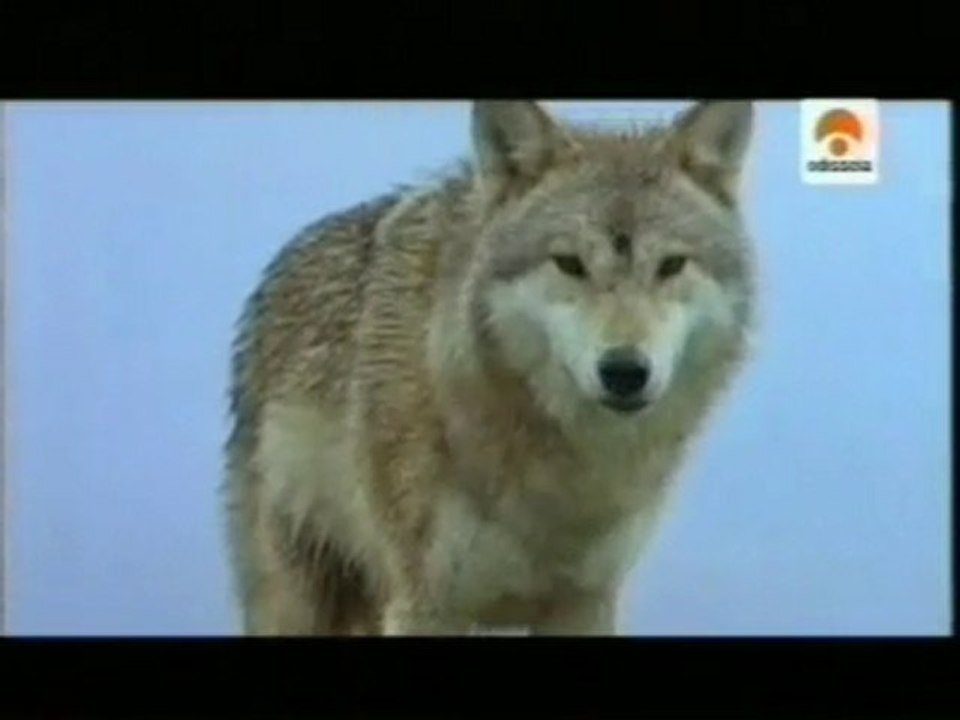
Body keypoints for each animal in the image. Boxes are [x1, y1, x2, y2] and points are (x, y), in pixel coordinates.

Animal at [223, 100, 758, 636]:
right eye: (569, 263)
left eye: (672, 266)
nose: (624, 371)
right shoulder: (426, 605)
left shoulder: (585, 601)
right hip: (298, 601)